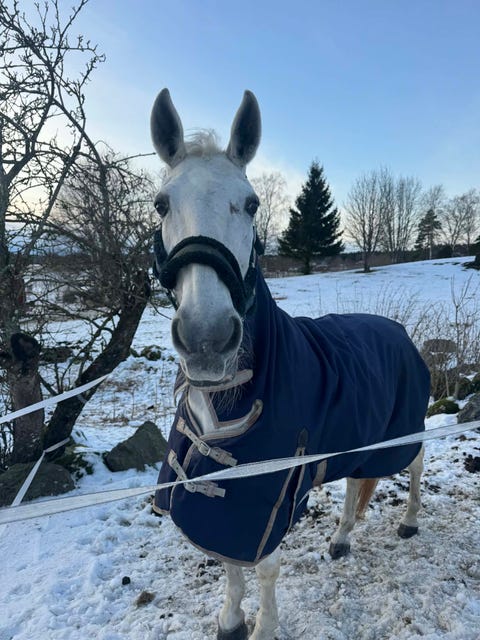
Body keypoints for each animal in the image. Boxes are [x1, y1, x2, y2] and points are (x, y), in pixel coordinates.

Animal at [149, 89, 430, 640]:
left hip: (398, 434)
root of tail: (397, 330)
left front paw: (263, 627)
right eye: (162, 203)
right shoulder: (231, 500)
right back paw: (341, 539)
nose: (207, 337)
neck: (230, 396)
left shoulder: (273, 491)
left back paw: (409, 522)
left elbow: (265, 567)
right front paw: (230, 620)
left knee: (414, 463)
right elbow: (231, 564)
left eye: (252, 203)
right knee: (355, 485)